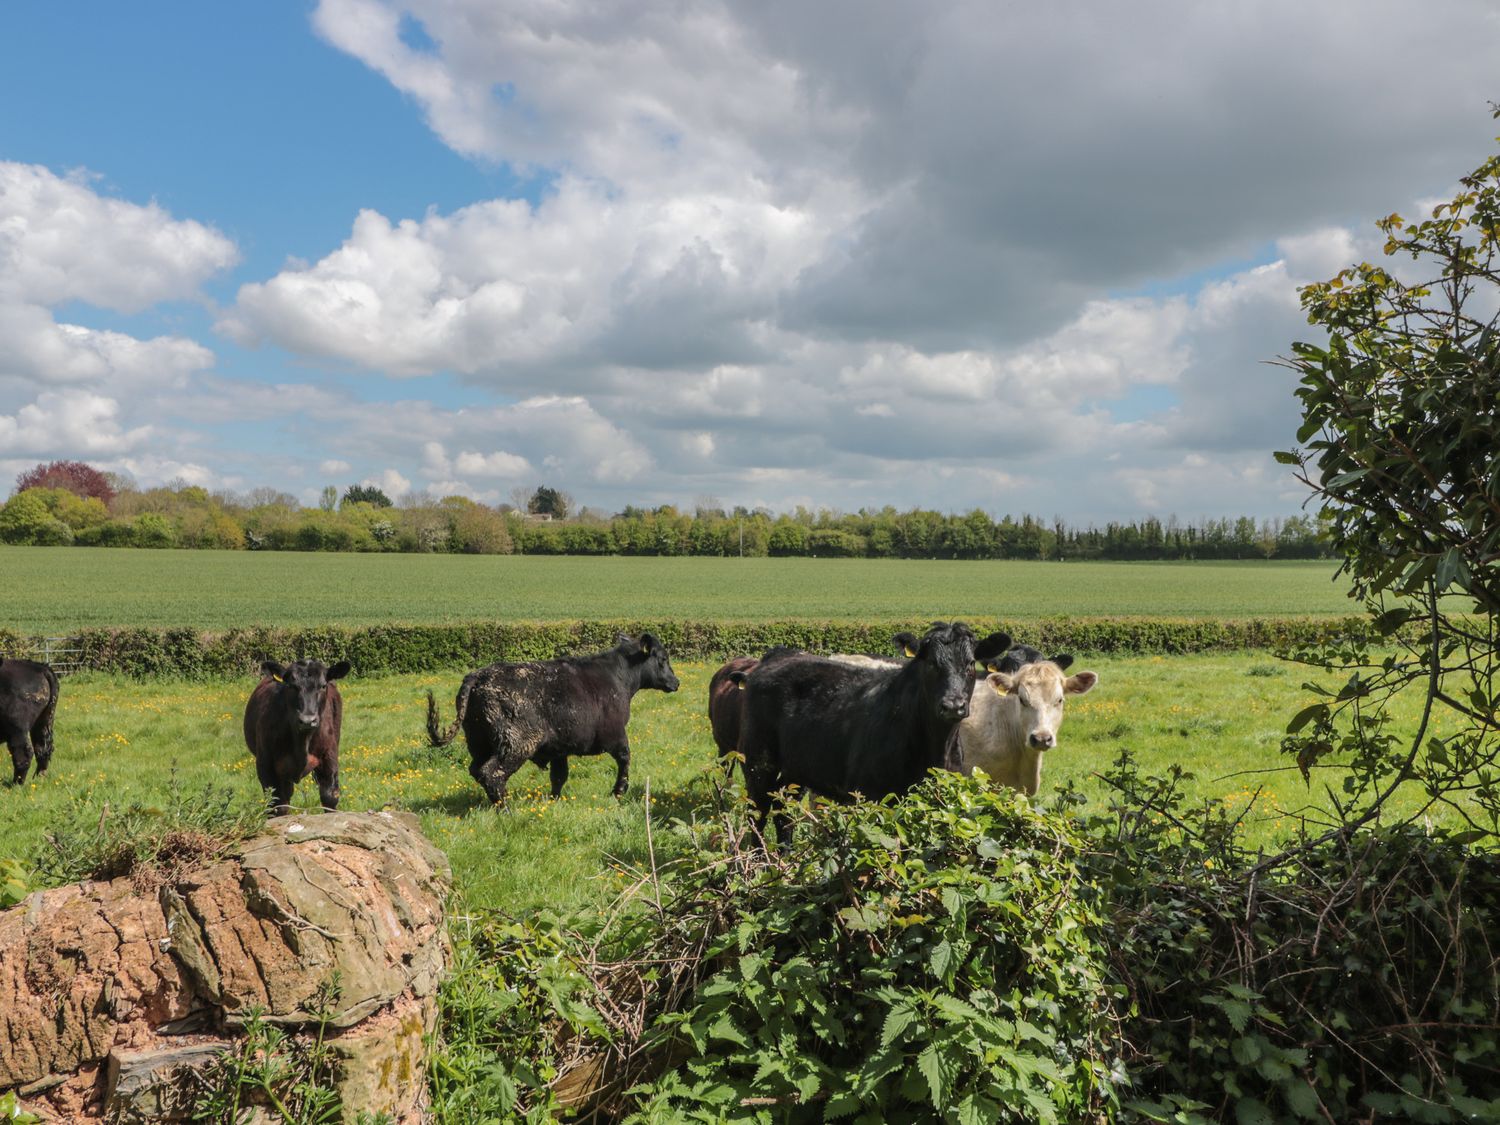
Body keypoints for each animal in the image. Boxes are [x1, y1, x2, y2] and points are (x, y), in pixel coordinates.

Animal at [241, 657, 349, 816]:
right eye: (291, 686)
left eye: (323, 686)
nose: (307, 720)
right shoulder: (265, 763)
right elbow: (276, 804)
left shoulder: (329, 755)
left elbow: (330, 797)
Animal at [423, 636, 681, 810]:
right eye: (663, 659)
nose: (676, 682)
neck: (618, 678)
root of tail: (478, 676)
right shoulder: (615, 736)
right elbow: (625, 760)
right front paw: (618, 791)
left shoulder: (560, 749)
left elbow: (559, 776)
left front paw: (554, 802)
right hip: (516, 745)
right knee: (492, 773)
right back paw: (506, 810)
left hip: (479, 743)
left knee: (477, 770)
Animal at [726, 627, 1008, 846]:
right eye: (931, 663)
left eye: (970, 664)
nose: (953, 705)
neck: (935, 747)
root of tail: (776, 657)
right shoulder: (873, 796)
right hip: (758, 767)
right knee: (757, 817)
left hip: (792, 775)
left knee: (784, 818)